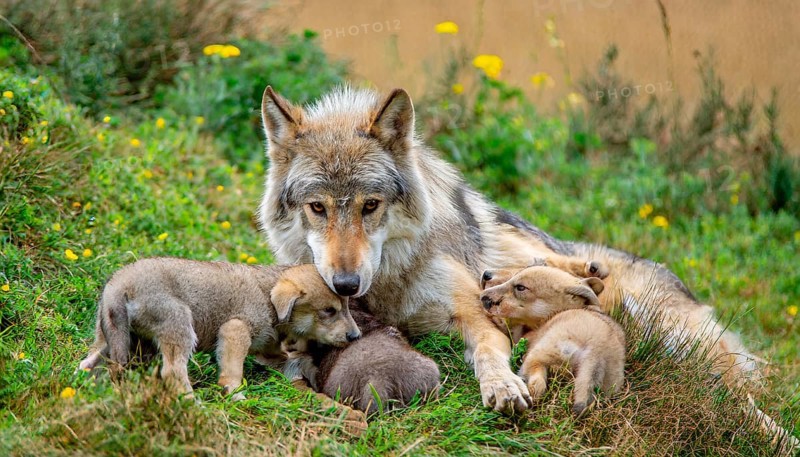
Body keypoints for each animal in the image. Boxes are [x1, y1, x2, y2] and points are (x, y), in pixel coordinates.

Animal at [78, 258, 360, 397]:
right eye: (329, 311)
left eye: (347, 307)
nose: (355, 336)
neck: (267, 296)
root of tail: (120, 285)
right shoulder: (234, 331)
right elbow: (233, 373)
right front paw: (235, 394)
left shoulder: (267, 345)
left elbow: (284, 356)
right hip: (180, 327)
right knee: (172, 373)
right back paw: (191, 403)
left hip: (113, 337)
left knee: (88, 363)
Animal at [481, 265, 626, 417]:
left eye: (520, 287)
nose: (482, 296)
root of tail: (597, 348)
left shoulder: (521, 336)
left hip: (538, 355)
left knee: (537, 386)